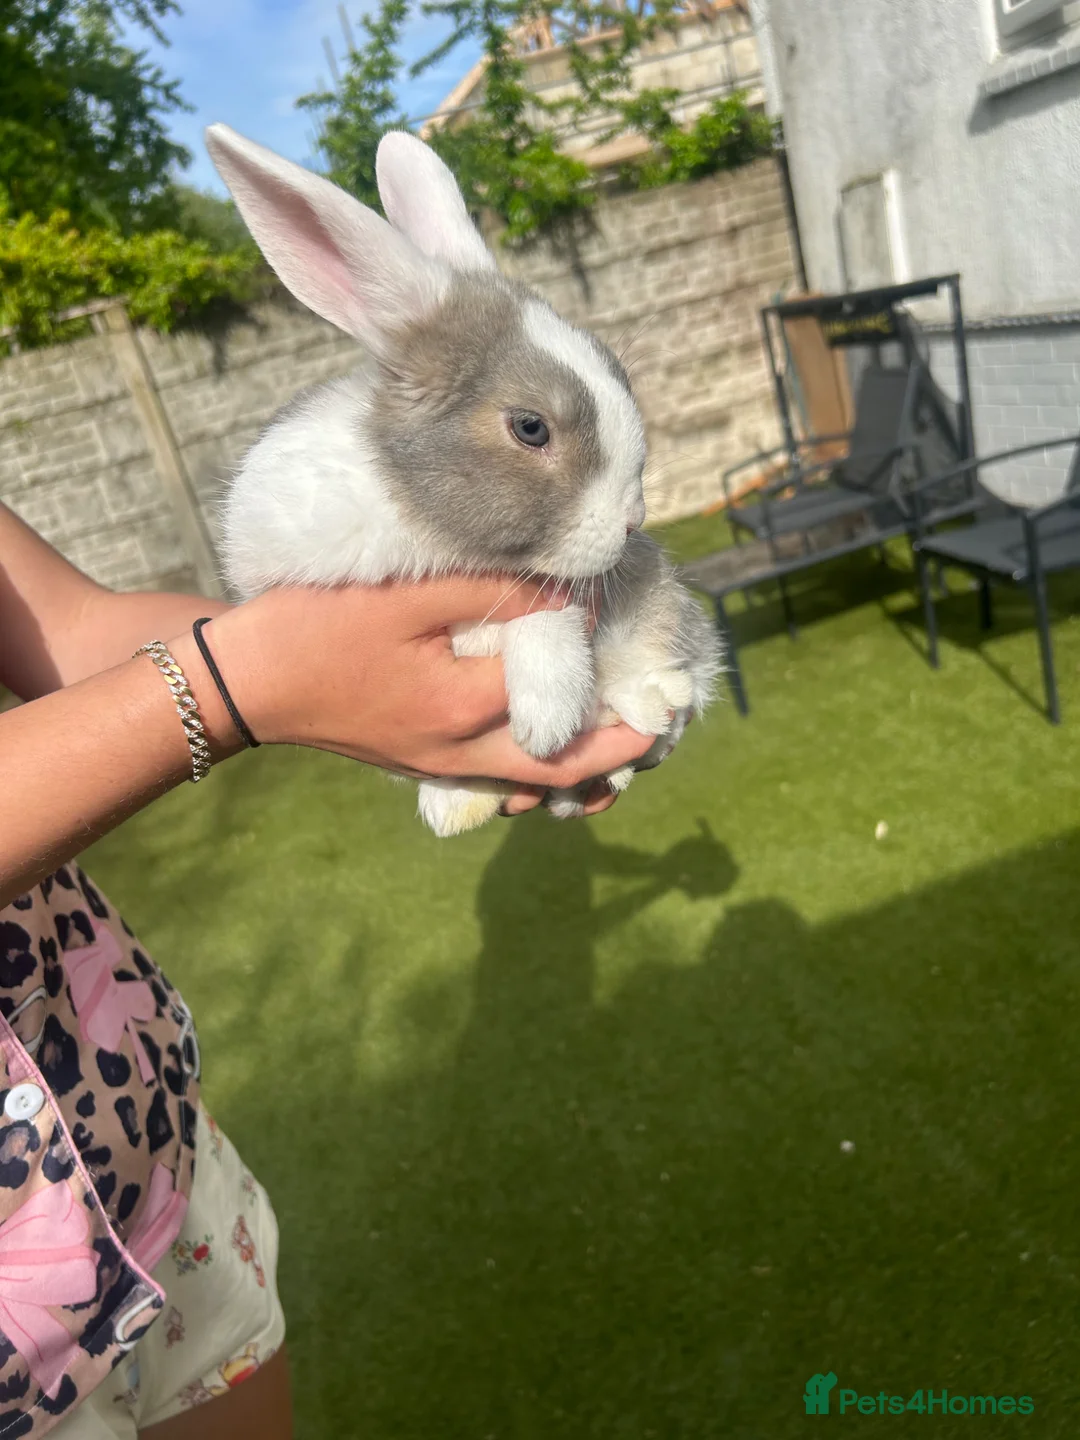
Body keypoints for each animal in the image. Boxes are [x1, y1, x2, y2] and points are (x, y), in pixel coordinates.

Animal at [204, 123, 721, 836]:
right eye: (530, 427)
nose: (633, 522)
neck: (425, 528)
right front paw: (540, 733)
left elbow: (543, 615)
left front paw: (546, 719)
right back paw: (459, 803)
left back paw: (646, 709)